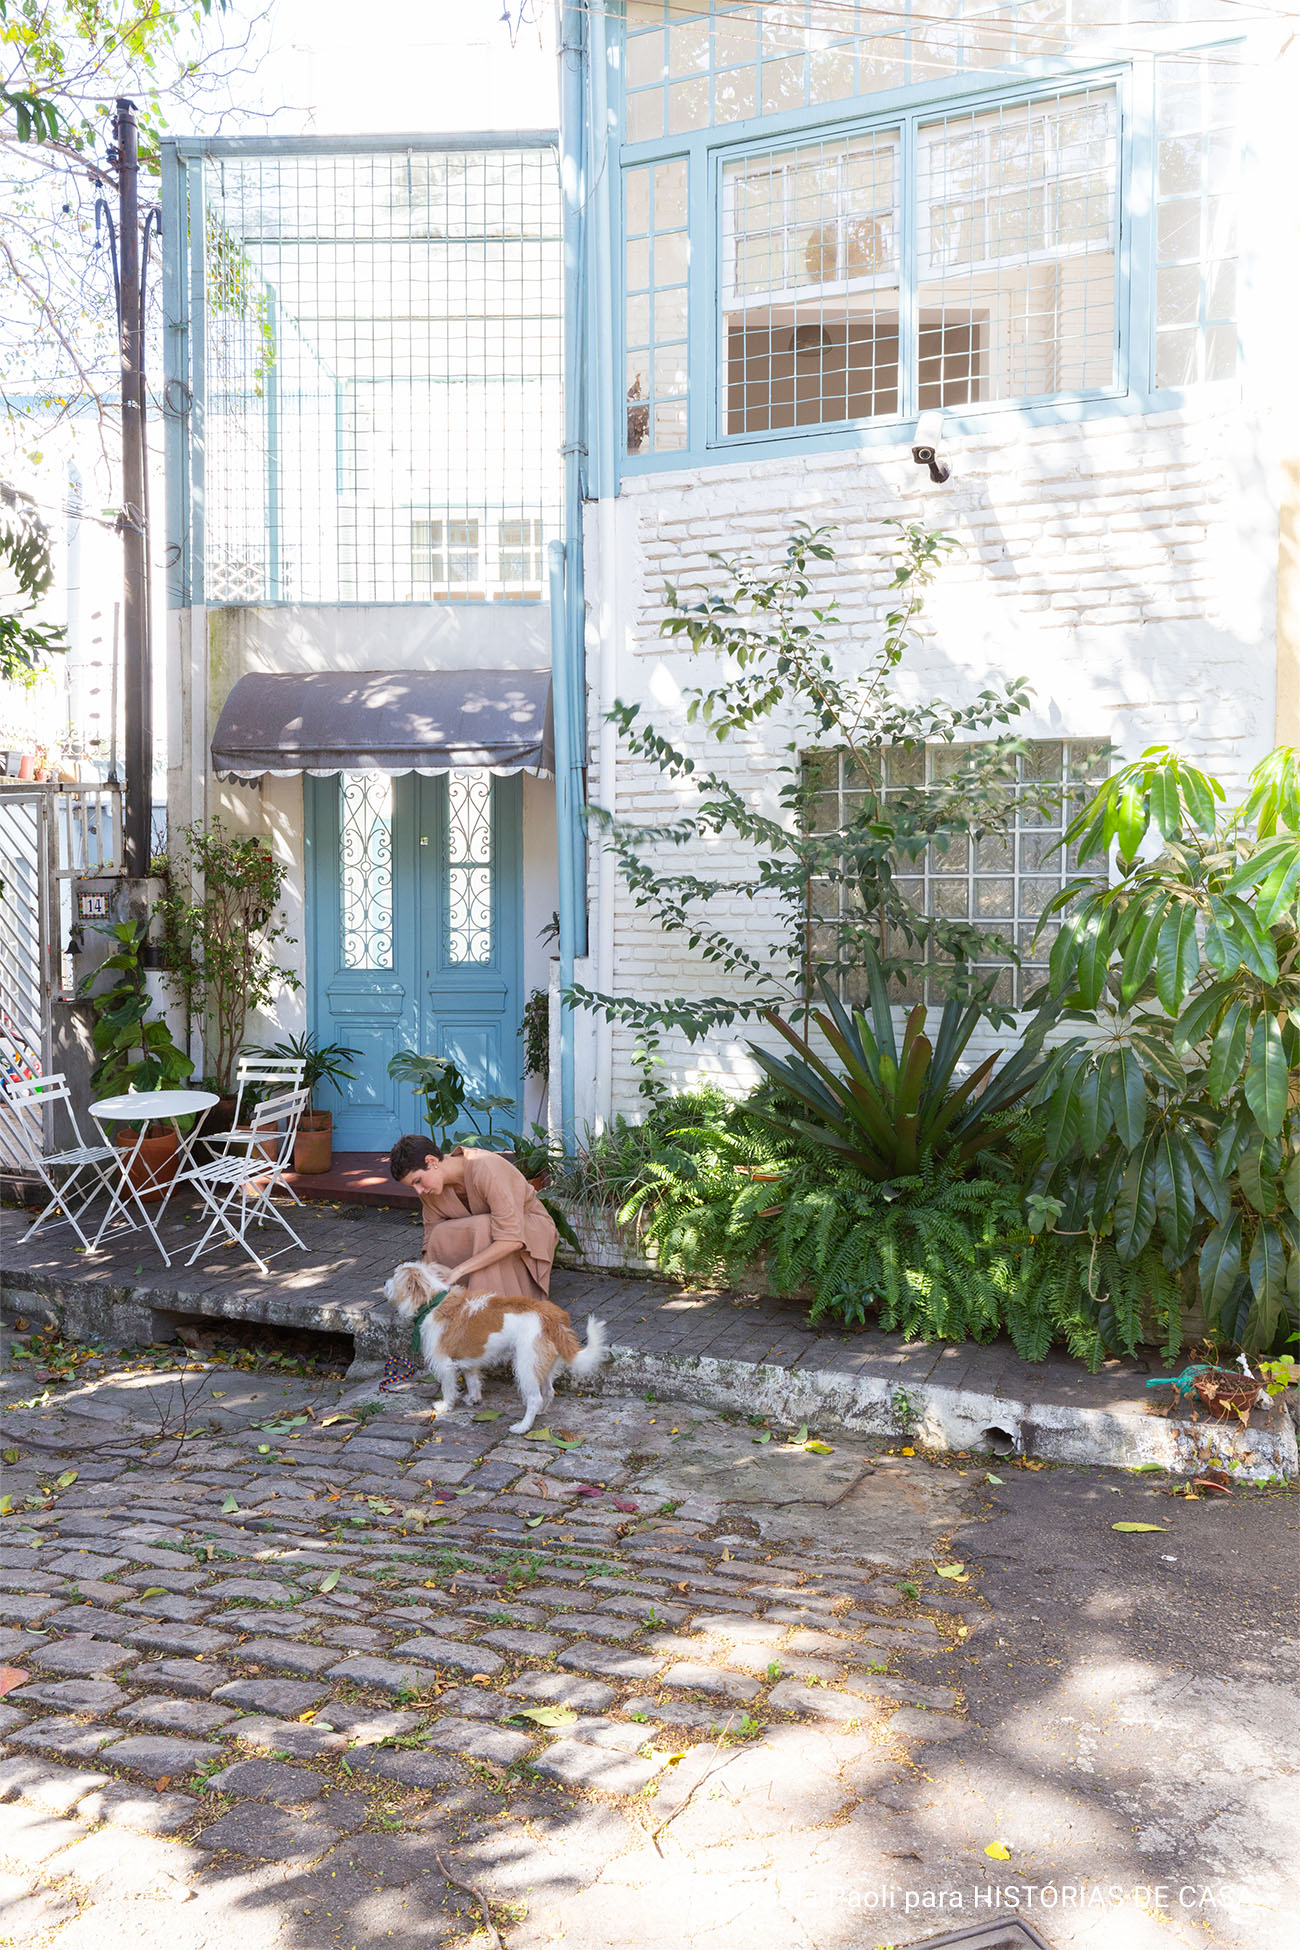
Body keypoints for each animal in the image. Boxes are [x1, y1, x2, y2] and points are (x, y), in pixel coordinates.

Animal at [385, 1263, 611, 1435]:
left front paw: (445, 1406)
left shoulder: (444, 1364)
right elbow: (472, 1380)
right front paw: (474, 1399)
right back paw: (540, 1412)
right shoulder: (468, 1360)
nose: (384, 1283)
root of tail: (551, 1318)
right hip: (543, 1364)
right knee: (548, 1391)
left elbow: (448, 1387)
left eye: (394, 1277)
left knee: (535, 1397)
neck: (433, 1302)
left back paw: (523, 1426)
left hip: (525, 1366)